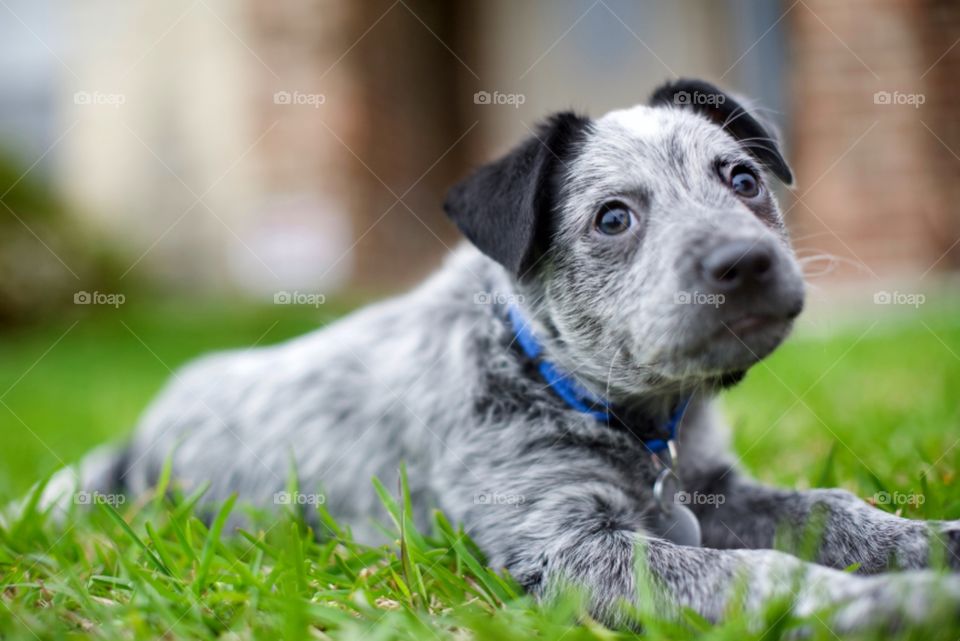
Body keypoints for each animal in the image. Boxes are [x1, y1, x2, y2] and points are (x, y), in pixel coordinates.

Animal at [41, 77, 960, 628]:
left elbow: (834, 510)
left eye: (742, 178)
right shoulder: (567, 548)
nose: (748, 262)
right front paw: (900, 601)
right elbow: (759, 573)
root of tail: (143, 431)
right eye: (613, 217)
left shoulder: (717, 487)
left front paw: (932, 541)